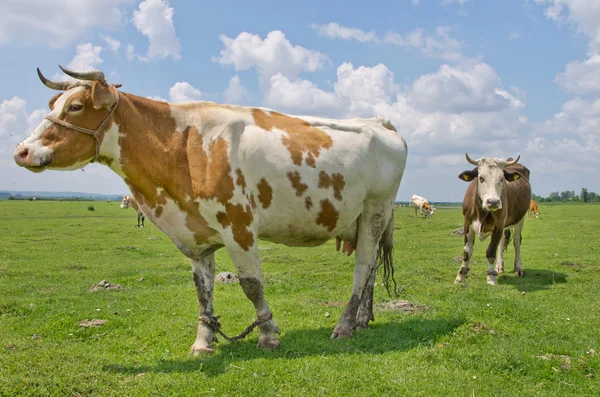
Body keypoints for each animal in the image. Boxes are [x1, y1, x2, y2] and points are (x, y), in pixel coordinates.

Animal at [12, 65, 408, 352]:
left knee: (362, 268)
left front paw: (268, 334)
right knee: (372, 268)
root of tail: (378, 122)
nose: (22, 151)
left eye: (75, 106)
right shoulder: (196, 237)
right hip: (361, 220)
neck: (181, 147)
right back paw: (362, 319)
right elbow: (203, 292)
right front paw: (204, 341)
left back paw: (344, 325)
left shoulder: (240, 227)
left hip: (376, 209)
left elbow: (252, 285)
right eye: (53, 105)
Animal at [454, 152, 528, 284]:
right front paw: (460, 277)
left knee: (516, 240)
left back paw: (518, 268)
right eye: (481, 178)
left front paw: (491, 278)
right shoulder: (467, 223)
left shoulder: (498, 225)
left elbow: (491, 251)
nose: (493, 202)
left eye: (502, 179)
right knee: (502, 241)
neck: (482, 212)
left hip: (520, 218)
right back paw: (499, 266)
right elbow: (467, 252)